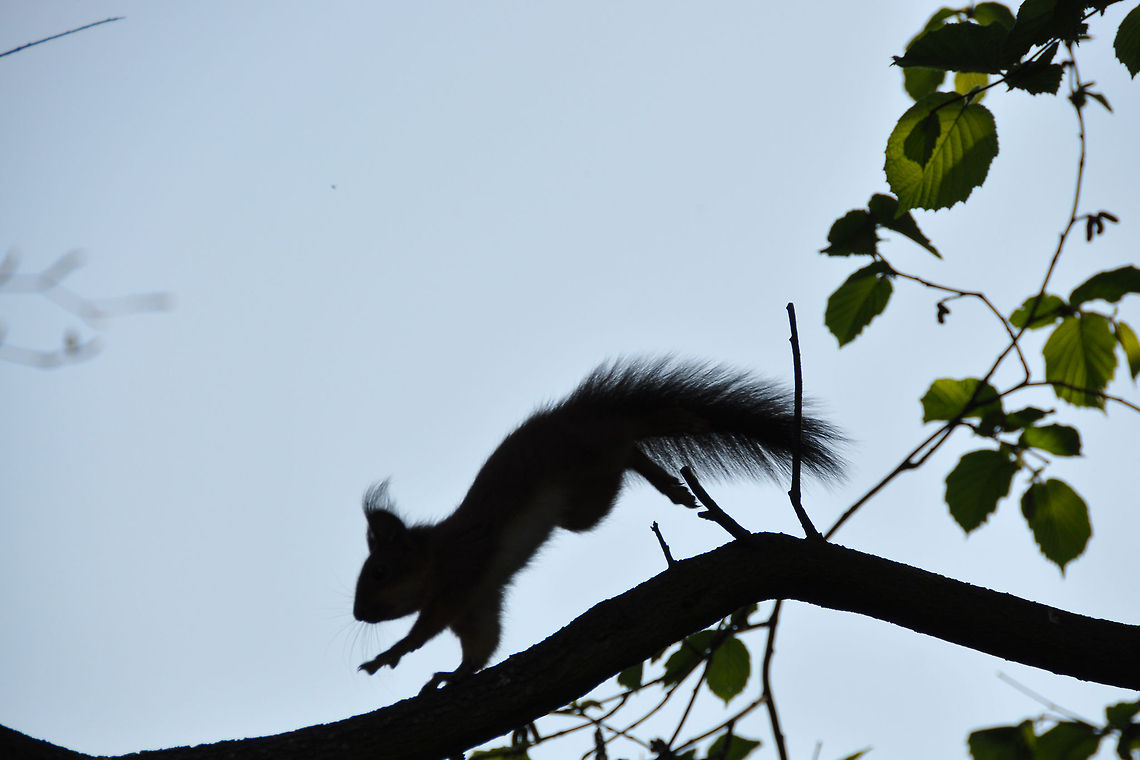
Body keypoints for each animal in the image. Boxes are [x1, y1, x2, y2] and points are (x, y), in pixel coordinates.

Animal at [353, 358, 843, 691]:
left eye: (379, 571)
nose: (359, 614)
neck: (433, 556)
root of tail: (570, 415)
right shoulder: (479, 603)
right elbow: (481, 648)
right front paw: (453, 675)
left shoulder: (461, 571)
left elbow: (428, 626)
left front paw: (389, 654)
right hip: (585, 492)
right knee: (627, 448)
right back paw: (670, 483)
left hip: (584, 473)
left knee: (626, 434)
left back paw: (676, 423)